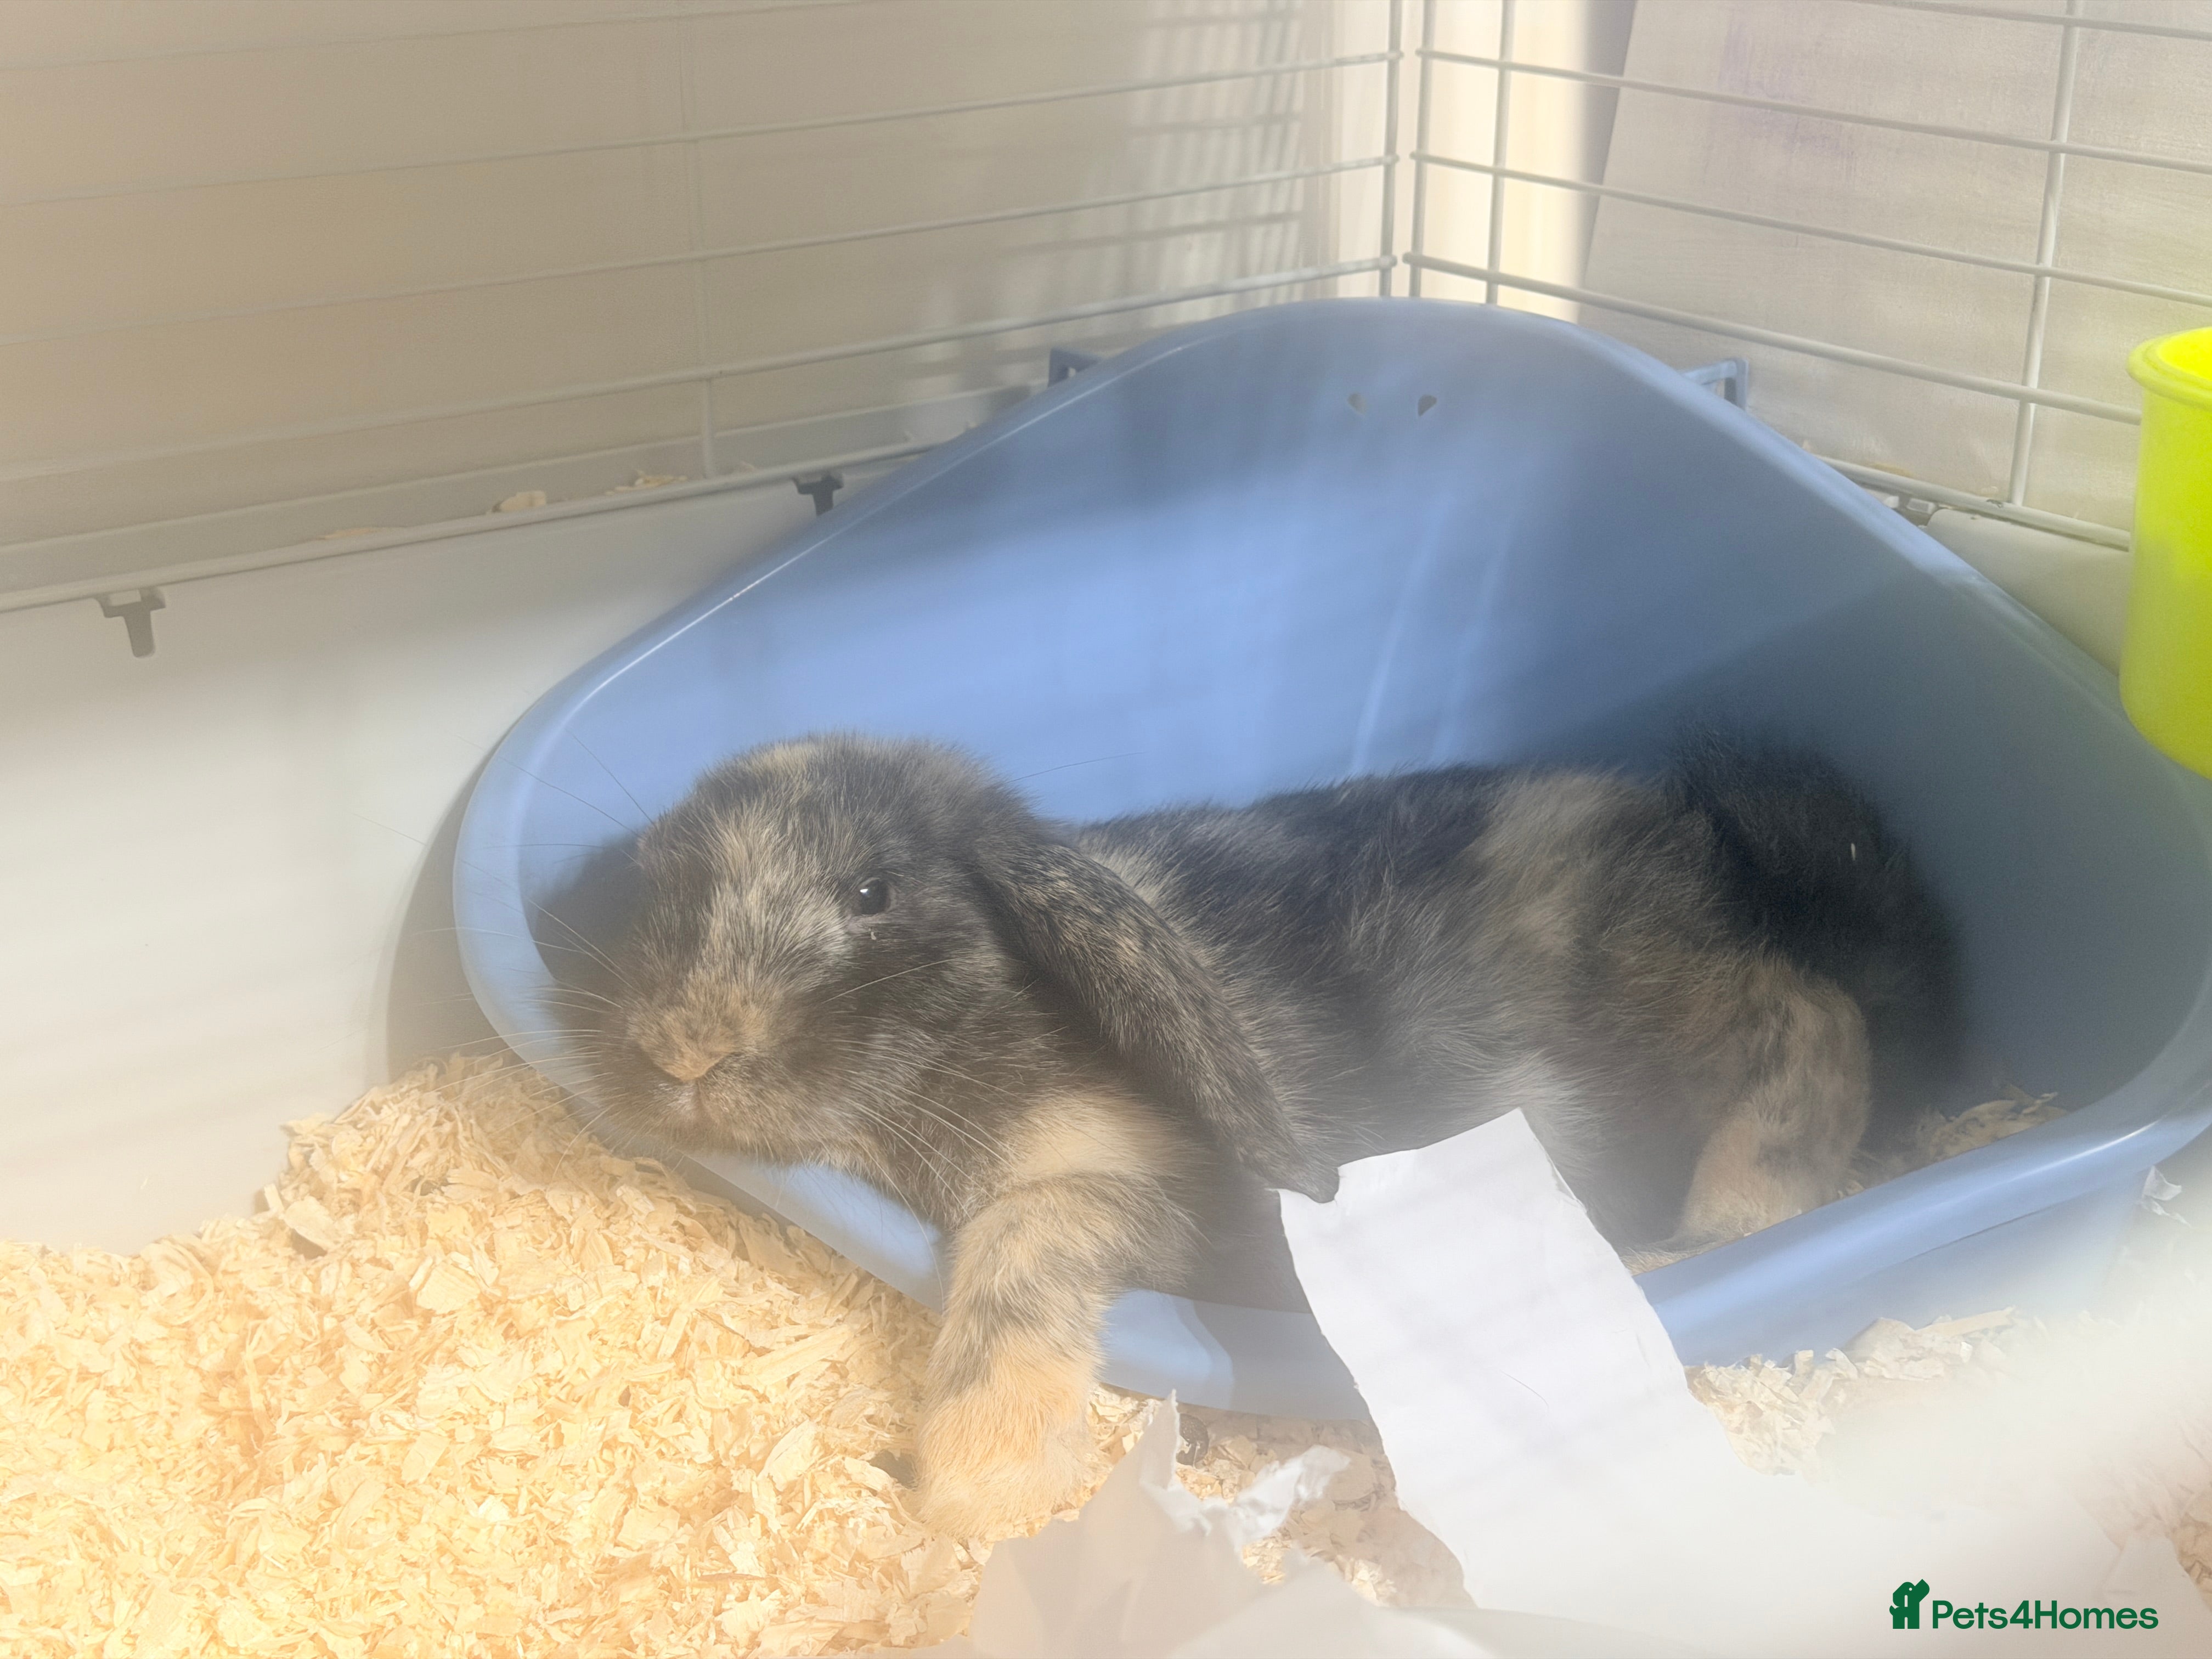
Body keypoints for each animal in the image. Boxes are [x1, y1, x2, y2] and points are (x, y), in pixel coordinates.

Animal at [583, 731, 1962, 1536]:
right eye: (661, 886)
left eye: (872, 892)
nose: (685, 1053)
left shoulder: (1149, 1194)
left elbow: (1021, 1248)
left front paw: (983, 1481)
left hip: (1649, 1000)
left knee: (1813, 1011)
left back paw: (1731, 1216)